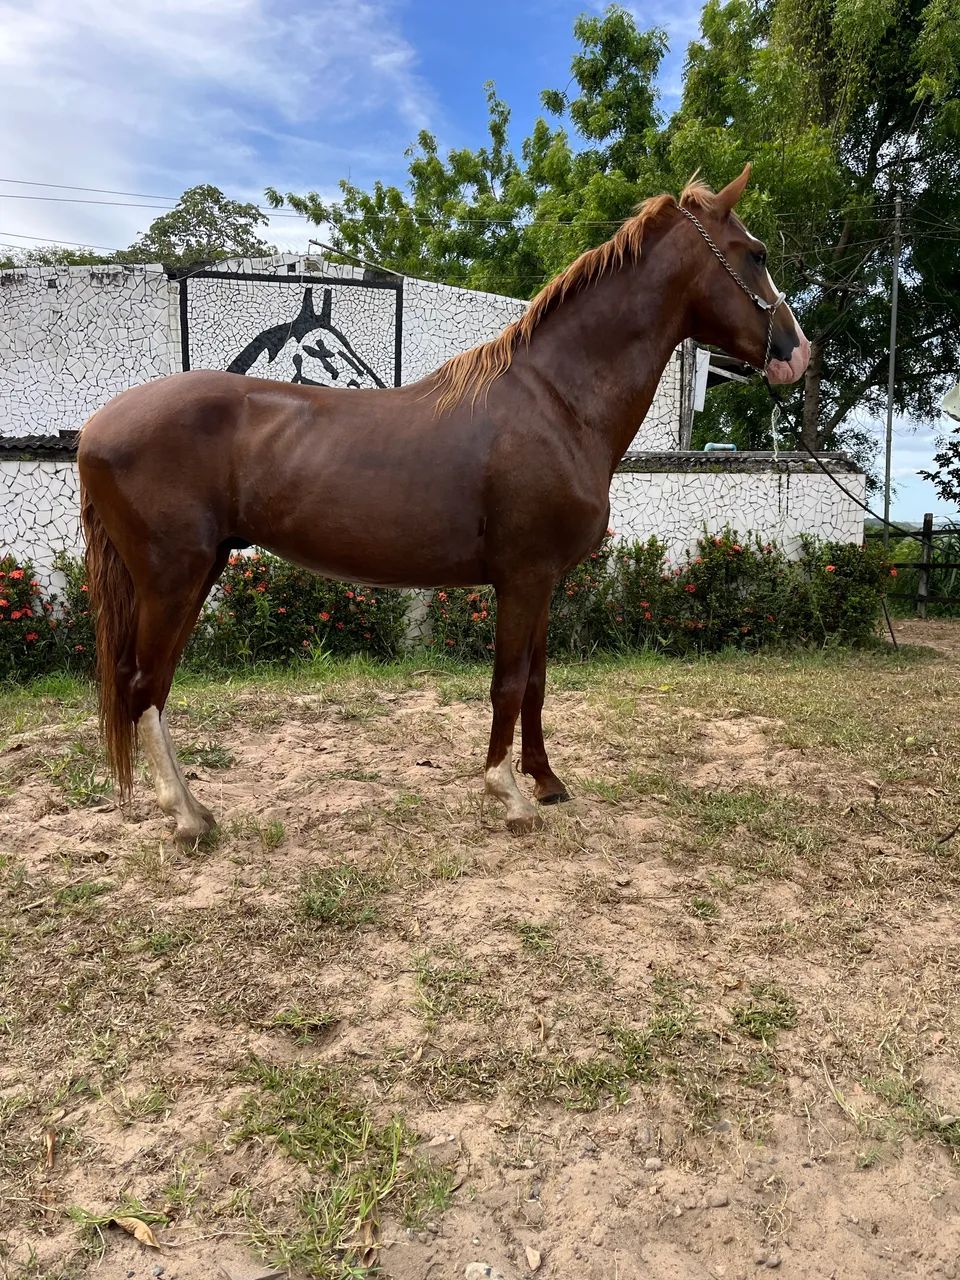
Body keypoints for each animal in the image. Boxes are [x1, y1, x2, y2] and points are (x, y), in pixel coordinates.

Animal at [77, 163, 809, 841]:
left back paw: (192, 809)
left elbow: (536, 682)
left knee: (152, 684)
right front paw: (507, 794)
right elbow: (508, 682)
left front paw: (546, 782)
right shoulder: (523, 577)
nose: (796, 353)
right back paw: (187, 817)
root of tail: (96, 427)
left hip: (195, 574)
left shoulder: (542, 580)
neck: (557, 402)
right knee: (144, 686)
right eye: (755, 254)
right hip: (172, 578)